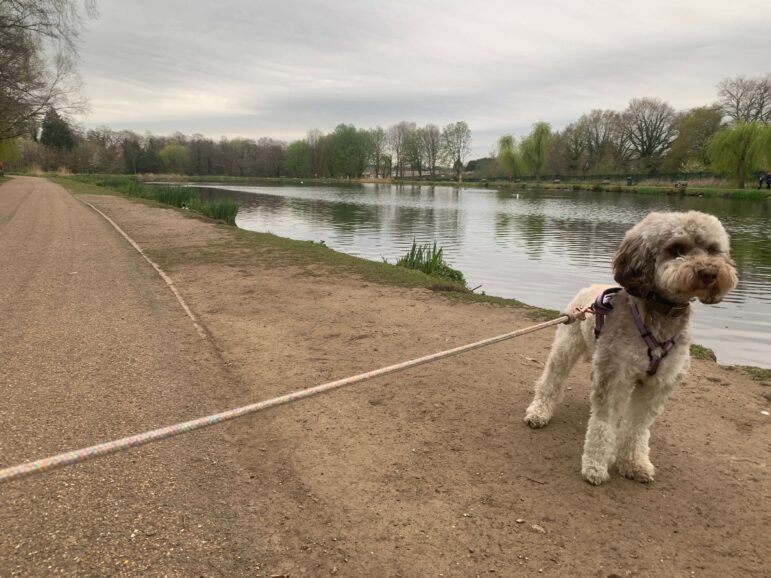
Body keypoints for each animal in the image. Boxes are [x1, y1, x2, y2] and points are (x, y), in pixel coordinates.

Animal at [528, 209, 740, 484]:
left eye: (713, 249)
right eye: (677, 249)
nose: (708, 272)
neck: (660, 312)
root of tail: (589, 289)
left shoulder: (657, 384)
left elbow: (637, 427)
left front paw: (634, 462)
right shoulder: (616, 375)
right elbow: (603, 424)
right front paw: (595, 465)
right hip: (566, 348)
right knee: (550, 381)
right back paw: (538, 412)